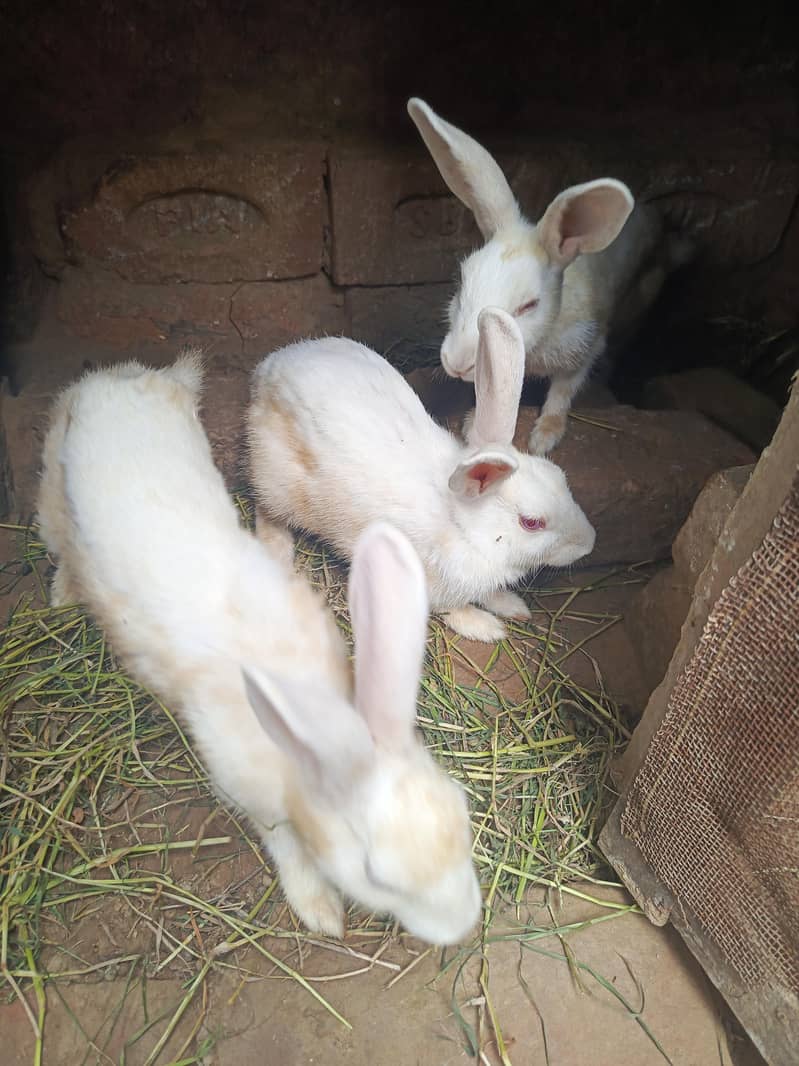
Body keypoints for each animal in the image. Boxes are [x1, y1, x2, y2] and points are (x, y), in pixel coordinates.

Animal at [36, 351, 481, 946]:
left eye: (462, 812)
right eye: (374, 874)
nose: (462, 926)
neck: (318, 732)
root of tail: (116, 380)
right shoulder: (250, 791)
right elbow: (288, 847)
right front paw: (321, 910)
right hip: (51, 493)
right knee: (58, 544)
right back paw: (63, 593)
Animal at [247, 307, 595, 645]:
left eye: (560, 476)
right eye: (532, 523)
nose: (589, 543)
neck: (462, 527)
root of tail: (268, 368)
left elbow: (491, 594)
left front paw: (513, 606)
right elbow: (453, 609)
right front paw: (486, 627)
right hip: (277, 484)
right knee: (267, 512)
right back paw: (277, 552)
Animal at [407, 97, 693, 456]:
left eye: (529, 305)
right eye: (461, 282)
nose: (458, 362)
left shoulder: (586, 348)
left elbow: (562, 393)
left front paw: (544, 438)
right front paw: (476, 424)